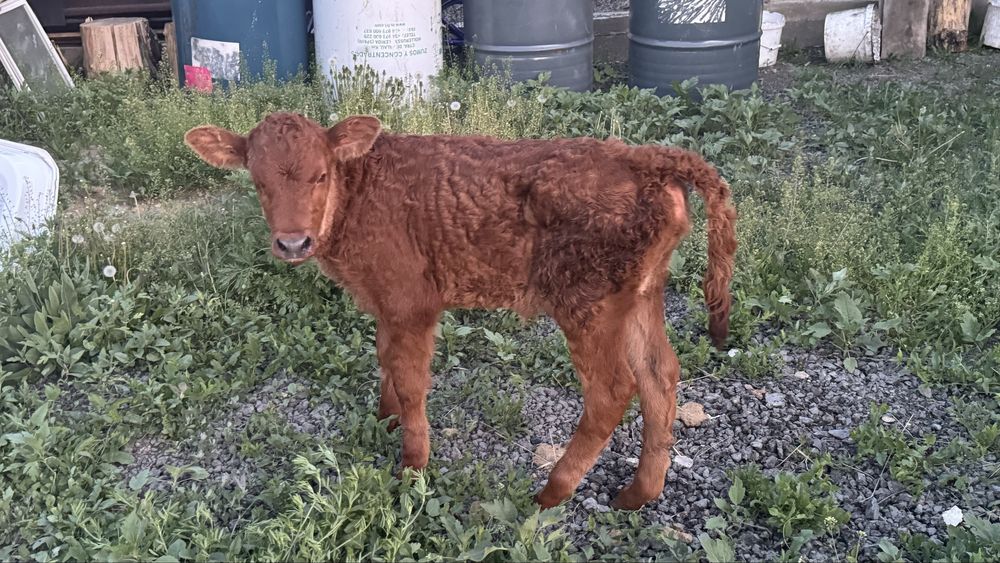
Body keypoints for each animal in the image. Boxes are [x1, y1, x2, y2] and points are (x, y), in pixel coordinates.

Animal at [184, 112, 737, 510]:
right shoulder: (386, 302)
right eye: (259, 183)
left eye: (321, 176)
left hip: (586, 302)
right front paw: (384, 419)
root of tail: (645, 158)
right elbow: (385, 359)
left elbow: (411, 380)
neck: (357, 195)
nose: (293, 242)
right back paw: (638, 494)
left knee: (612, 390)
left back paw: (553, 492)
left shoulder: (411, 301)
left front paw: (412, 466)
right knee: (660, 373)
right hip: (641, 294)